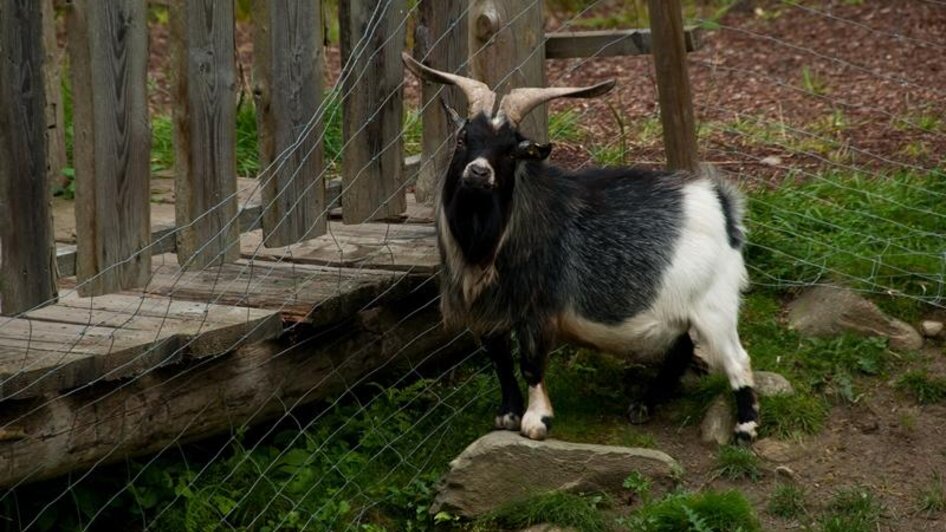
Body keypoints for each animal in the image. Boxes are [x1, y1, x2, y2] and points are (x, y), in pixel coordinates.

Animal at [402, 53, 756, 444]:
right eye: (464, 137)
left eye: (512, 151)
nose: (479, 172)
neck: (491, 237)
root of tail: (721, 202)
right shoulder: (488, 309)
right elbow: (500, 360)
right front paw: (507, 413)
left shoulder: (537, 308)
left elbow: (530, 363)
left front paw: (537, 421)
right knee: (681, 350)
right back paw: (643, 405)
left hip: (715, 304)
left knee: (737, 359)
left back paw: (745, 427)